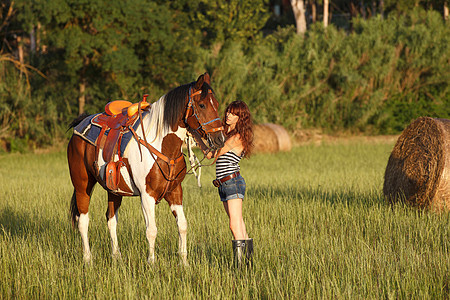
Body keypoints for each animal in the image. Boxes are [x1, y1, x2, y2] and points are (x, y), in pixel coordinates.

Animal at [67, 73, 225, 264]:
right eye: (202, 105)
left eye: (216, 104)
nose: (220, 139)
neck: (162, 146)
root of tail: (79, 123)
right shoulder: (147, 195)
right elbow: (151, 230)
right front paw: (152, 263)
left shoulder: (175, 192)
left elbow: (183, 225)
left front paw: (184, 262)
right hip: (82, 185)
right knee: (83, 221)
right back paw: (88, 259)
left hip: (114, 191)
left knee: (111, 220)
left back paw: (116, 256)